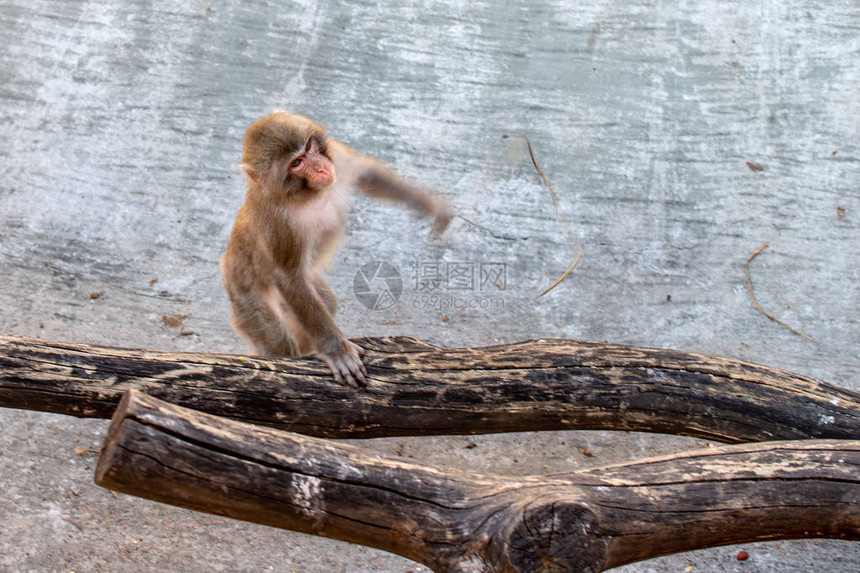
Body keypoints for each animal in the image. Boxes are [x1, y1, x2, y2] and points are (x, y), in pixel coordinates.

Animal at [220, 110, 450, 388]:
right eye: (296, 163)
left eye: (309, 148)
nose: (320, 167)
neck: (311, 194)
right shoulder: (279, 222)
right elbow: (289, 277)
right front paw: (336, 351)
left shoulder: (338, 158)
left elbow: (367, 173)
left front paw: (431, 206)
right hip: (244, 293)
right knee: (277, 335)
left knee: (325, 303)